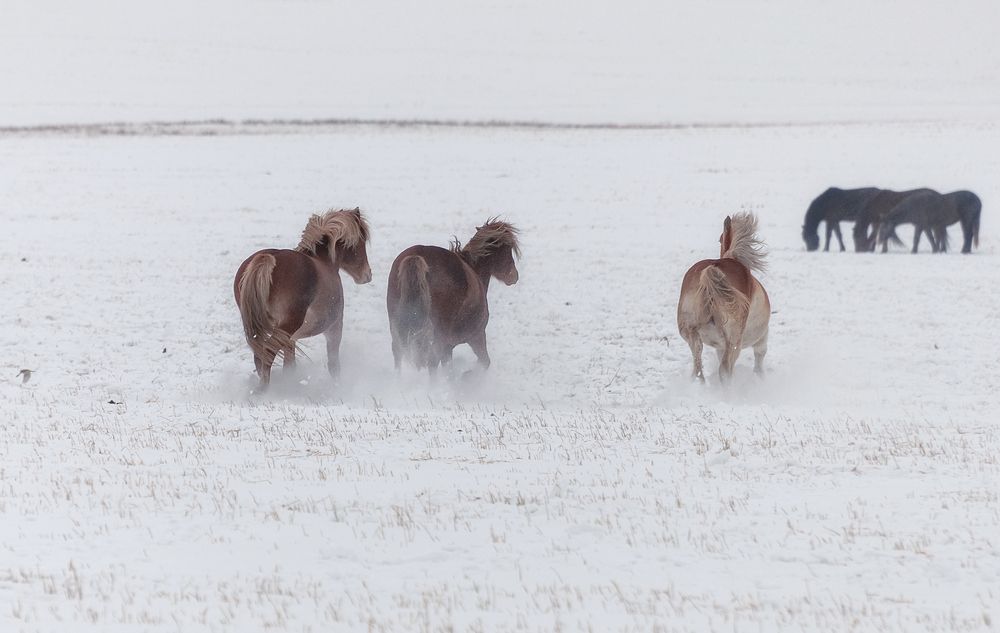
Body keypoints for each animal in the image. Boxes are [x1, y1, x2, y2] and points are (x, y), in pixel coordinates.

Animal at [233, 208, 372, 390]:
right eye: (361, 241)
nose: (367, 275)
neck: (326, 263)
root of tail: (267, 259)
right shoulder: (335, 326)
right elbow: (334, 364)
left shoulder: (290, 339)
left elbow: (289, 365)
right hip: (288, 326)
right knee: (267, 353)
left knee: (260, 355)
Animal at [386, 219, 520, 374]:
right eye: (507, 250)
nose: (514, 276)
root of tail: (417, 258)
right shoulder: (476, 336)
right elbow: (484, 362)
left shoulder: (448, 347)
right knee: (431, 361)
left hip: (398, 327)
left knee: (399, 353)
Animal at [678, 212, 770, 384]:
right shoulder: (762, 338)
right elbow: (759, 358)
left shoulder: (718, 346)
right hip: (734, 342)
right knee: (725, 370)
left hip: (690, 333)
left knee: (698, 365)